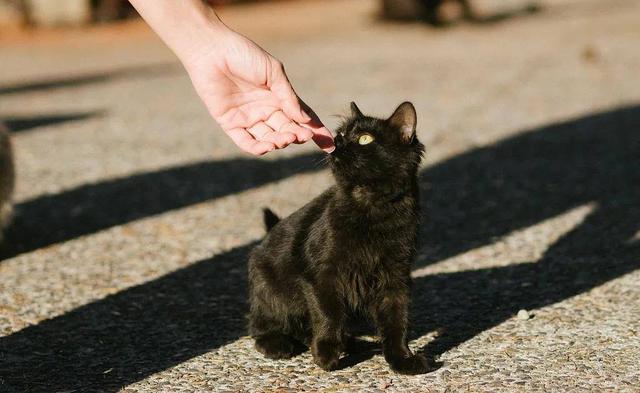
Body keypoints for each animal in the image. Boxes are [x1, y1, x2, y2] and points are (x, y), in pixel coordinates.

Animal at [248, 101, 432, 374]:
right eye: (341, 134)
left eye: (365, 138)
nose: (337, 142)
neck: (371, 207)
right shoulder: (321, 276)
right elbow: (328, 314)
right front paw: (326, 353)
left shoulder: (396, 278)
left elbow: (397, 323)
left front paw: (402, 359)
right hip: (270, 289)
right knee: (261, 325)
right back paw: (279, 344)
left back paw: (351, 343)